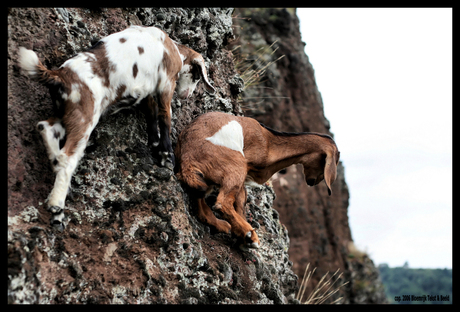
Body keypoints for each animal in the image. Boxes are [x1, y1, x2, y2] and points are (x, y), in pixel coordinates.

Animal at [18, 25, 217, 230]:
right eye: (197, 76)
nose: (187, 95)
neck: (172, 47)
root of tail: (60, 76)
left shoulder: (149, 90)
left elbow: (151, 112)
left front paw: (154, 143)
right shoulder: (166, 82)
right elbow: (165, 118)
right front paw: (166, 156)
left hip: (65, 113)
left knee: (46, 129)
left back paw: (57, 202)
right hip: (85, 117)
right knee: (67, 157)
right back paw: (56, 206)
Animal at [174, 111, 340, 249]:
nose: (314, 182)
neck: (269, 141)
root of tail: (187, 158)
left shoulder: (242, 182)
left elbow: (241, 204)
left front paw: (239, 235)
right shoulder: (243, 171)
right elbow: (238, 203)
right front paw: (244, 236)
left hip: (206, 180)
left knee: (201, 206)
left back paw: (224, 225)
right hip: (236, 165)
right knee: (222, 203)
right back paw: (250, 235)